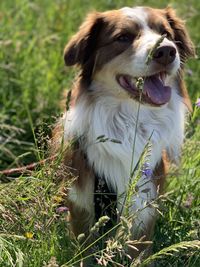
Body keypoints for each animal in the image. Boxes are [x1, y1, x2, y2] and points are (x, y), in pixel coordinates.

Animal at [51, 4, 194, 262]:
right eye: (123, 38)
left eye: (166, 33)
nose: (167, 51)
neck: (131, 123)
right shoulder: (81, 207)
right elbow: (84, 254)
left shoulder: (144, 207)